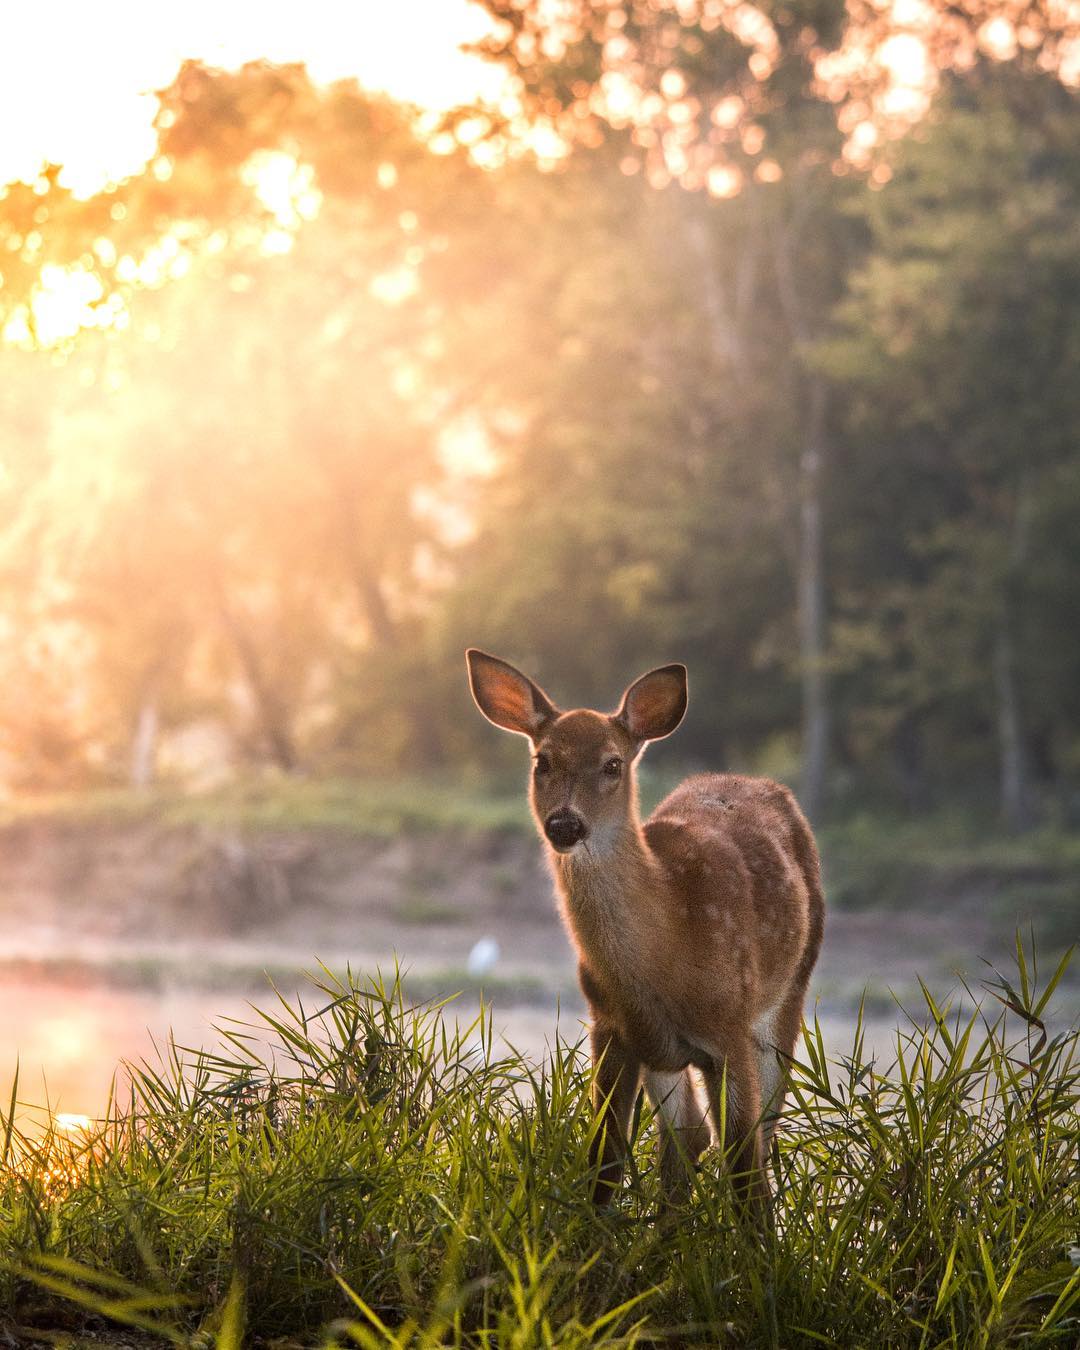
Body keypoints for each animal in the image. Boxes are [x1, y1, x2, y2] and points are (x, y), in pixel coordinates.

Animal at [464, 648, 826, 1209]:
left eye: (613, 764)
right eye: (542, 761)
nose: (564, 824)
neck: (671, 943)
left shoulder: (729, 1026)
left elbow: (745, 1165)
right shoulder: (611, 1026)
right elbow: (605, 1158)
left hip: (789, 989)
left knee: (756, 1132)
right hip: (663, 1052)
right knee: (687, 1135)